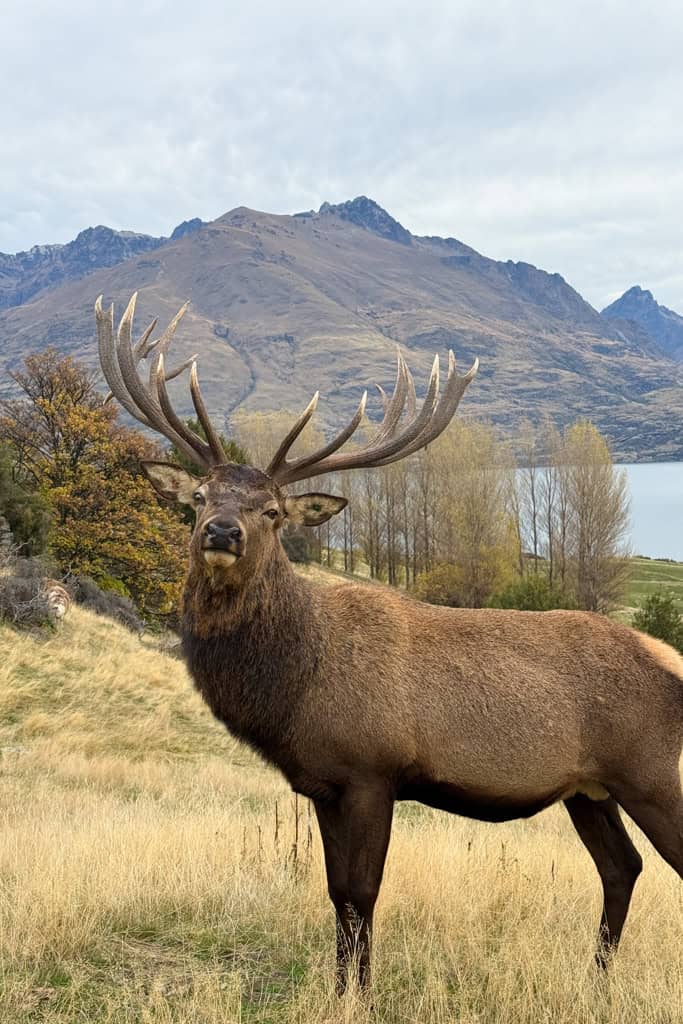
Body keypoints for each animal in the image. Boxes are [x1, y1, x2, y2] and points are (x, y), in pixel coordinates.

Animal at [96, 293, 683, 993]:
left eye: (273, 511)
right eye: (200, 496)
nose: (222, 531)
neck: (294, 688)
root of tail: (674, 664)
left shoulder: (372, 770)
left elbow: (363, 892)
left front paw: (362, 993)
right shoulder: (322, 784)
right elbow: (336, 894)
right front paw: (339, 988)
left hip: (651, 772)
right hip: (589, 789)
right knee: (622, 866)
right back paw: (593, 978)